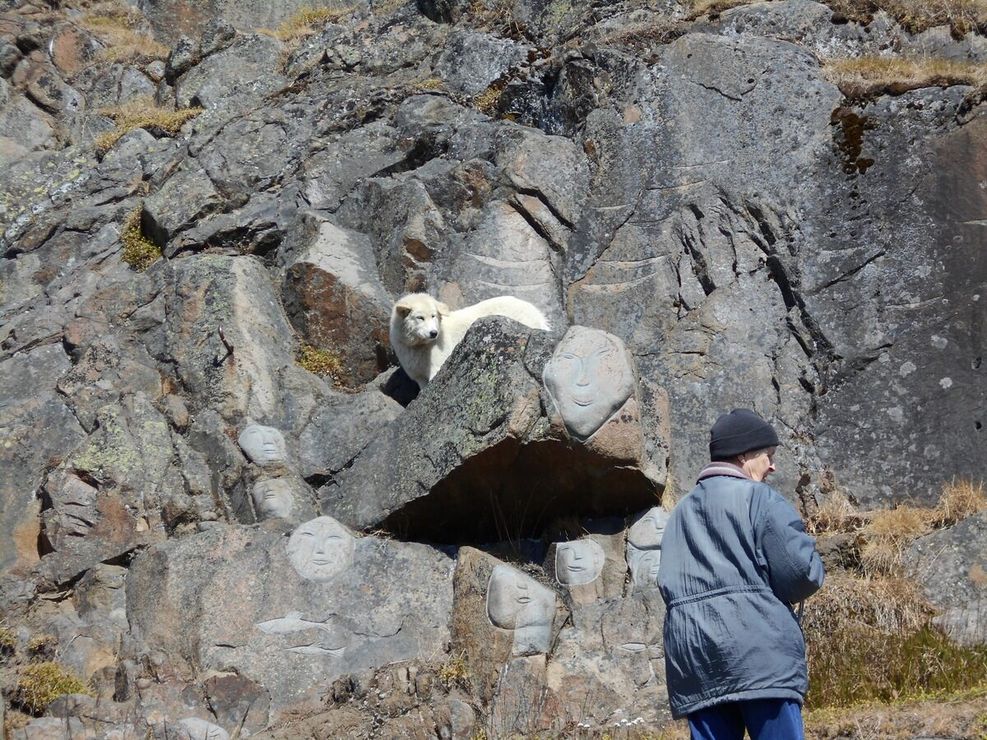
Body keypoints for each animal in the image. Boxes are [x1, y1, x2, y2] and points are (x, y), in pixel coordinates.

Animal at [390, 294, 552, 390]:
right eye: (420, 317)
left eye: (433, 315)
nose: (433, 333)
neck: (420, 344)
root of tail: (537, 312)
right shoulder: (412, 358)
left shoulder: (437, 351)